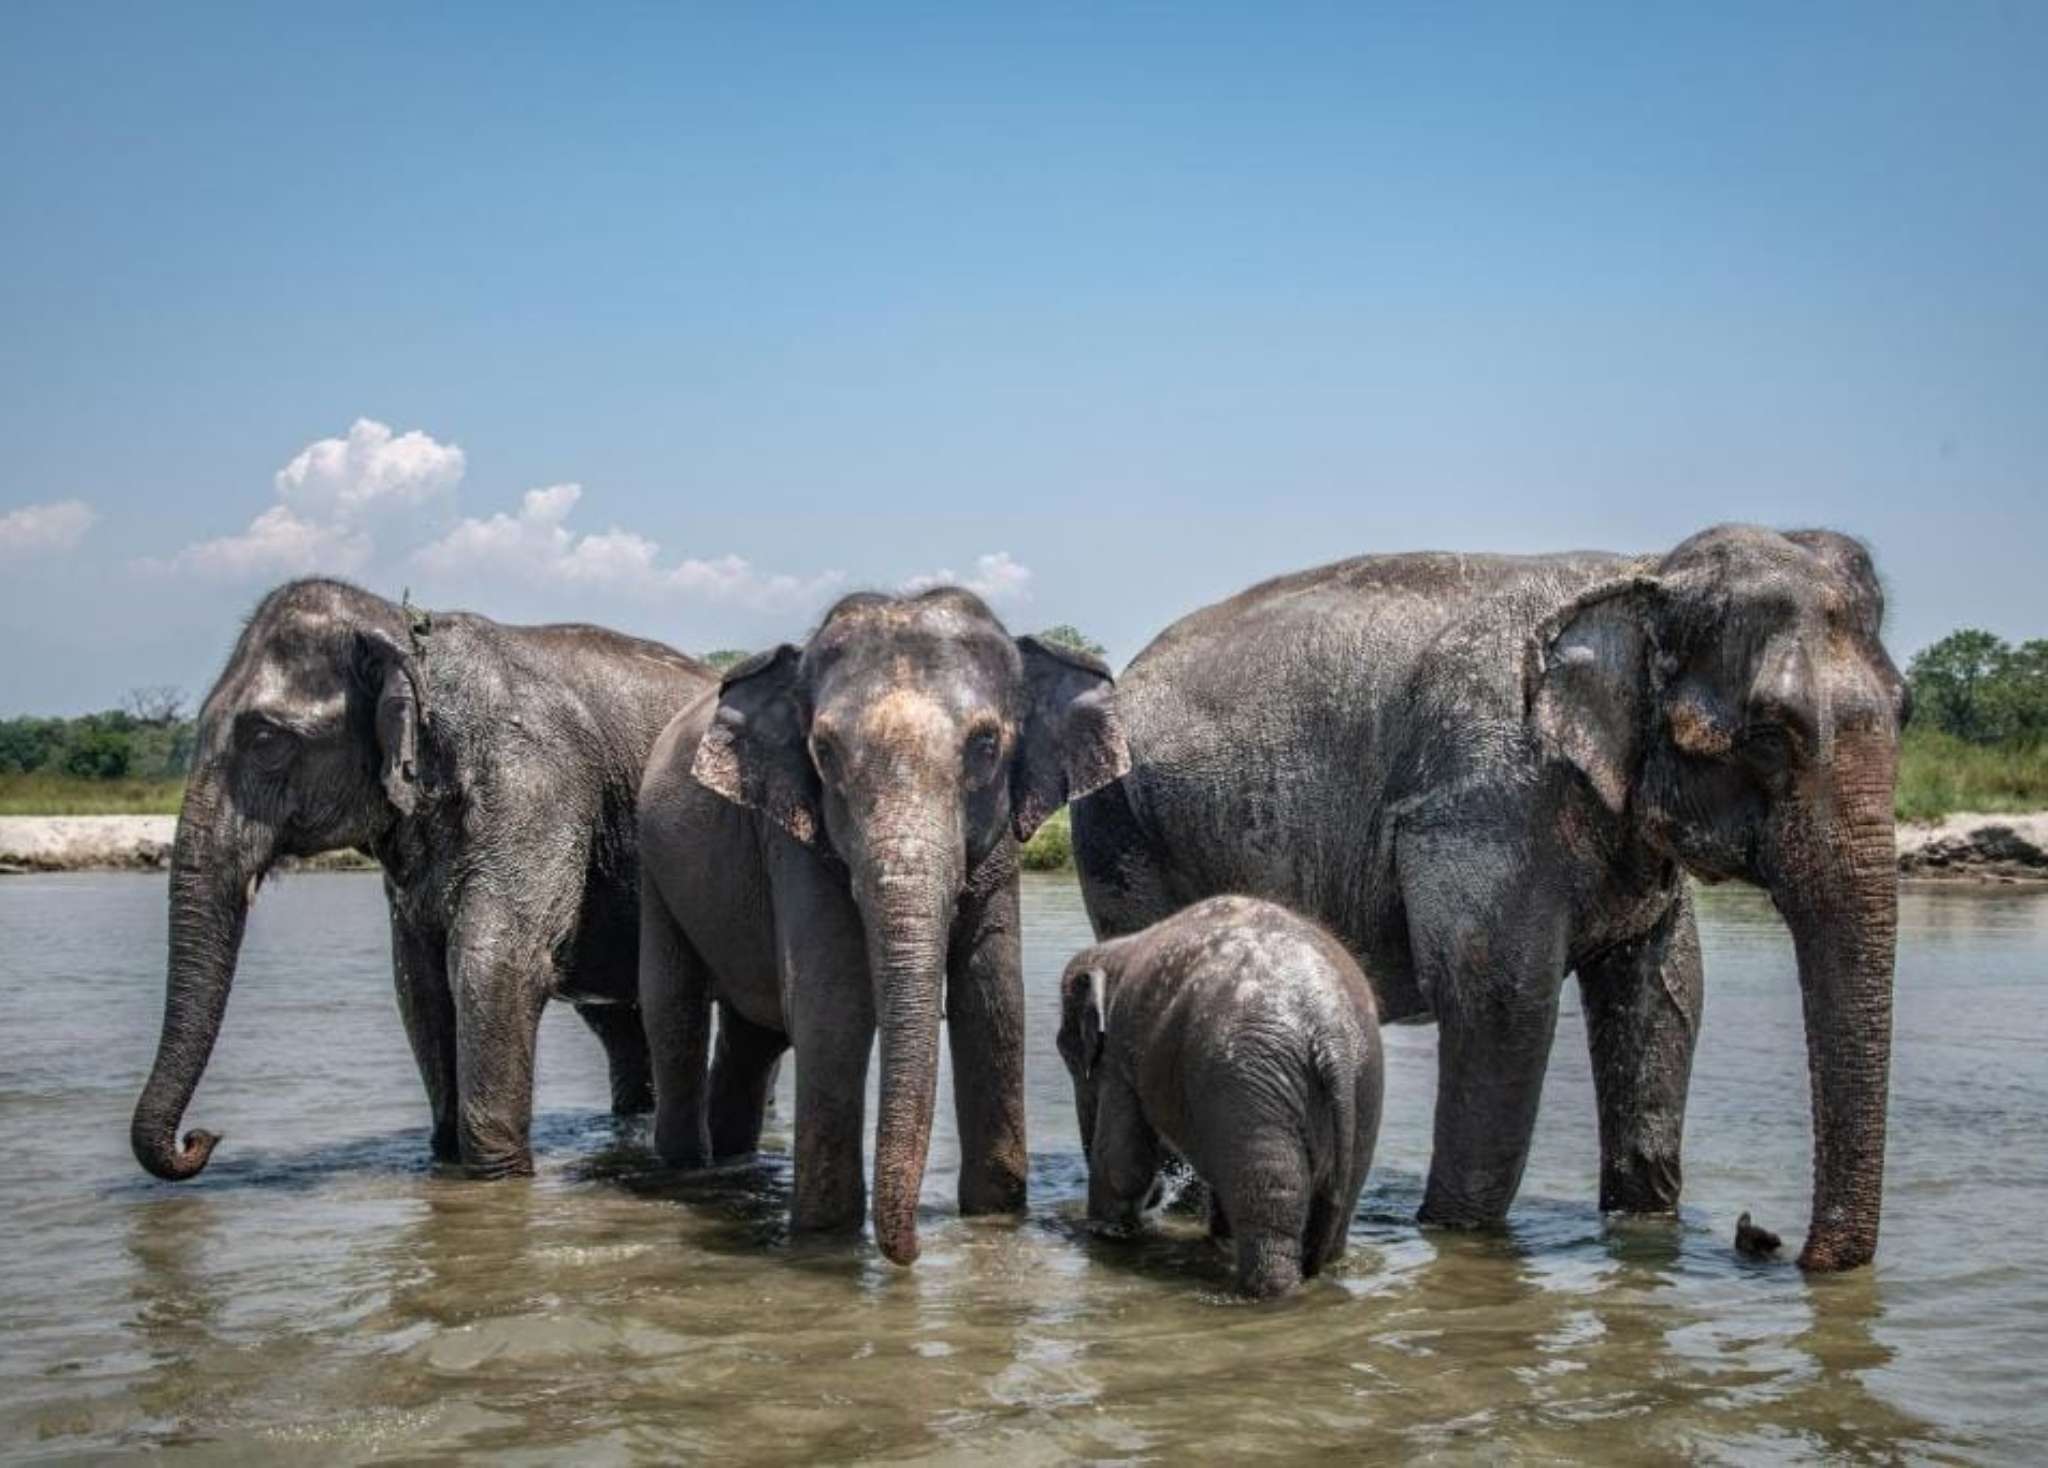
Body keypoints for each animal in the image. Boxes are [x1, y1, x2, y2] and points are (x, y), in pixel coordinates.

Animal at [132, 577, 716, 1187]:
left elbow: (494, 965)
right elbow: (420, 982)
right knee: (616, 1023)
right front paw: (446, 1160)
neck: (407, 633)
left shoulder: (538, 782)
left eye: (266, 740)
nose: (201, 1138)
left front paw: (498, 1181)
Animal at [634, 589, 1130, 1269]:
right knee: (674, 1009)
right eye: (823, 753)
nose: (916, 1251)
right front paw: (826, 1238)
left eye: (985, 746)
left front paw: (994, 1220)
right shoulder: (796, 833)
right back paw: (688, 1170)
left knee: (752, 1037)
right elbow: (835, 1001)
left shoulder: (1000, 844)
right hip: (655, 866)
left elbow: (991, 996)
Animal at [1064, 892, 1384, 1293]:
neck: (1117, 950)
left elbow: (1122, 1164)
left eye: (1068, 1053)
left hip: (1250, 1085)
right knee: (1337, 1201)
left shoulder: (1123, 1049)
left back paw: (1267, 1293)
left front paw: (1099, 1234)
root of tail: (1329, 1029)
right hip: (1362, 1085)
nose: (1159, 1198)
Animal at [1081, 528, 1908, 1269]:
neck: (1646, 572)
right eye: (1770, 736)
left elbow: (1665, 999)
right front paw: (1458, 1236)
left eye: (1905, 711)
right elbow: (1501, 1003)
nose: (1764, 1240)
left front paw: (1643, 1228)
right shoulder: (1487, 800)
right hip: (1124, 834)